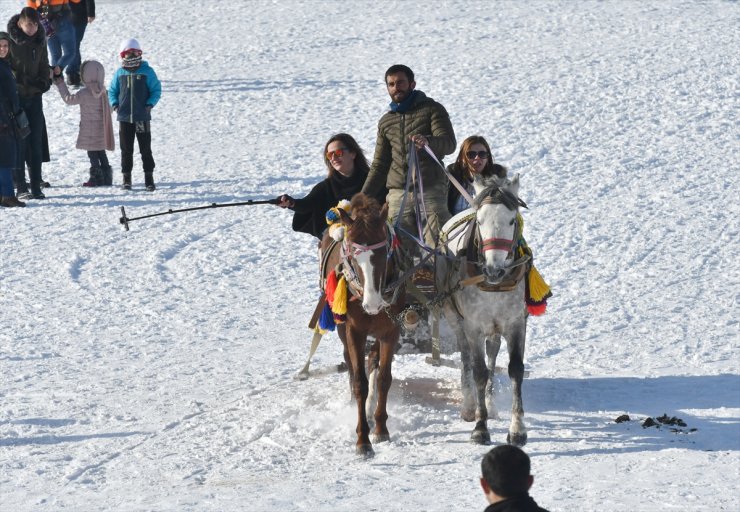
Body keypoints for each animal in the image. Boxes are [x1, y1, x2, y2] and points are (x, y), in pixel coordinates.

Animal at [324, 193, 404, 456]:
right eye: (351, 254)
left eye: (384, 251)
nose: (373, 303)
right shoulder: (354, 331)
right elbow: (360, 382)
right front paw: (362, 439)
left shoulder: (391, 330)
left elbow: (384, 379)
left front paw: (380, 429)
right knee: (350, 364)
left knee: (374, 362)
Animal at [436, 174, 528, 446]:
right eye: (479, 221)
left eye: (512, 220)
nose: (493, 270)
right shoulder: (473, 327)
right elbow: (478, 372)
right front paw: (480, 427)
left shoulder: (516, 323)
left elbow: (515, 370)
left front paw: (517, 430)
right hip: (455, 318)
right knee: (466, 358)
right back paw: (469, 406)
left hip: (495, 327)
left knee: (493, 354)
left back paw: (489, 402)